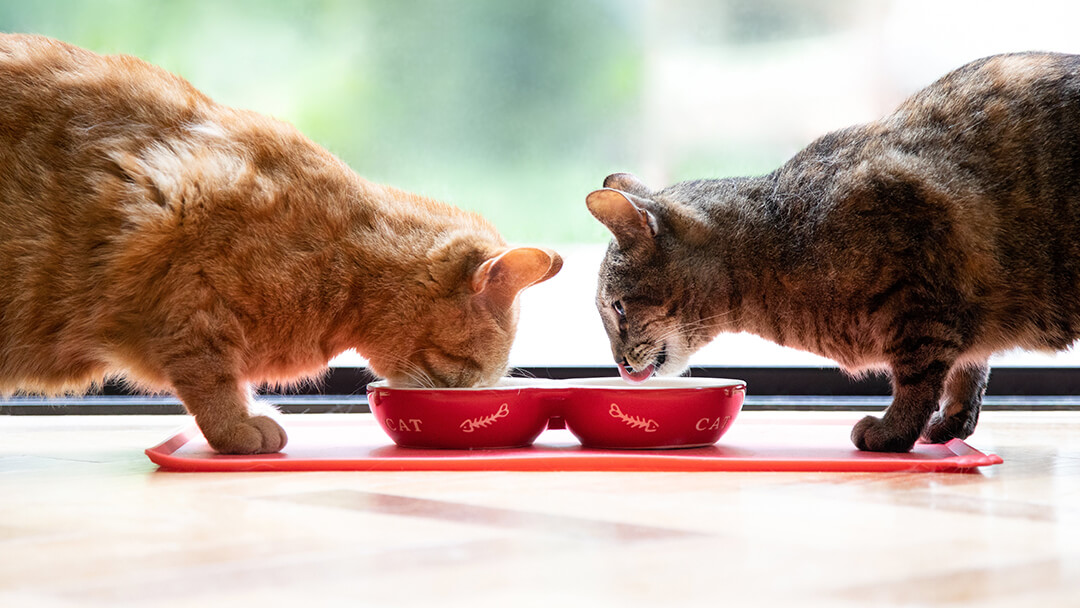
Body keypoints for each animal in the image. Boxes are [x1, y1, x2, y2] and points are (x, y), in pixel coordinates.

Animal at [0, 32, 557, 451]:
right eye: (467, 371)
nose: (471, 396)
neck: (349, 266)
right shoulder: (188, 302)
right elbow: (213, 381)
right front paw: (236, 429)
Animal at [591, 52, 1080, 451]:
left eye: (618, 308)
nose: (617, 362)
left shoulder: (922, 306)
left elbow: (918, 381)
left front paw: (894, 431)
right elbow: (970, 370)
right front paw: (951, 422)